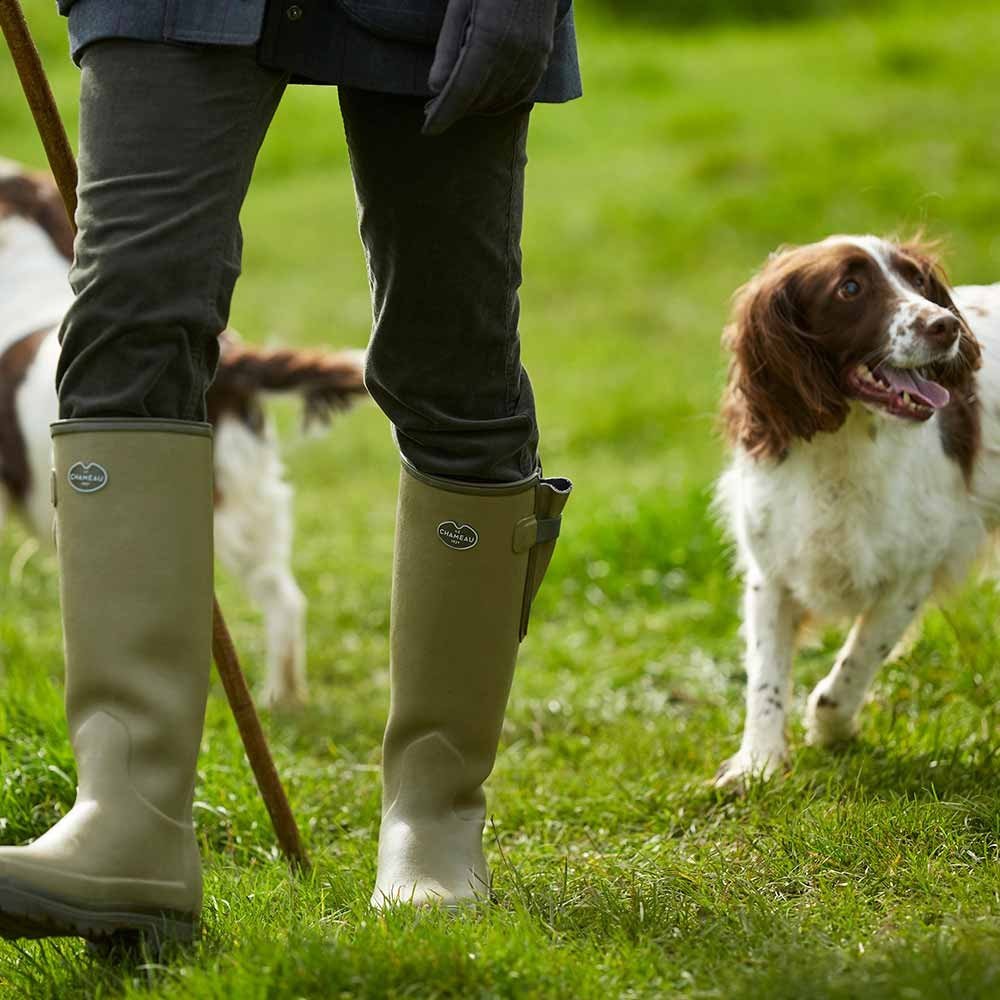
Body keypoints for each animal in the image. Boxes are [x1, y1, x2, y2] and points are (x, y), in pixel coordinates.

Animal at [716, 236, 996, 788]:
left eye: (916, 279)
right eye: (849, 288)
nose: (945, 325)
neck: (840, 446)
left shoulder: (909, 579)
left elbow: (851, 667)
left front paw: (832, 729)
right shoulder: (770, 574)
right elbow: (764, 678)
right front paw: (758, 762)